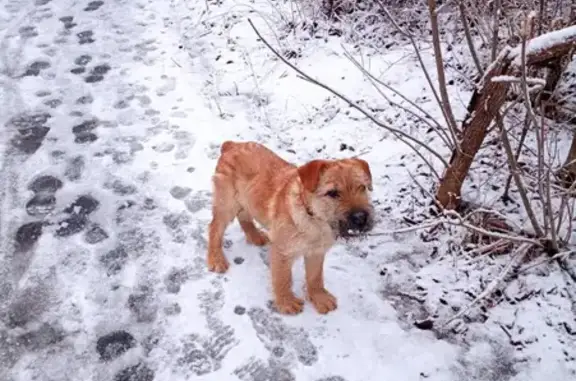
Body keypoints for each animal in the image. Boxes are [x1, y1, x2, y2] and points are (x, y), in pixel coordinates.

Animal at [206, 141, 374, 314]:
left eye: (362, 187)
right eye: (332, 193)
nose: (361, 218)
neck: (314, 219)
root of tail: (232, 145)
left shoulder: (316, 252)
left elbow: (315, 277)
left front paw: (319, 297)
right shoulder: (282, 251)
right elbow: (283, 278)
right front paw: (286, 302)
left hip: (246, 199)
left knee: (244, 216)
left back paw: (255, 236)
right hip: (227, 204)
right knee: (214, 228)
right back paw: (216, 259)